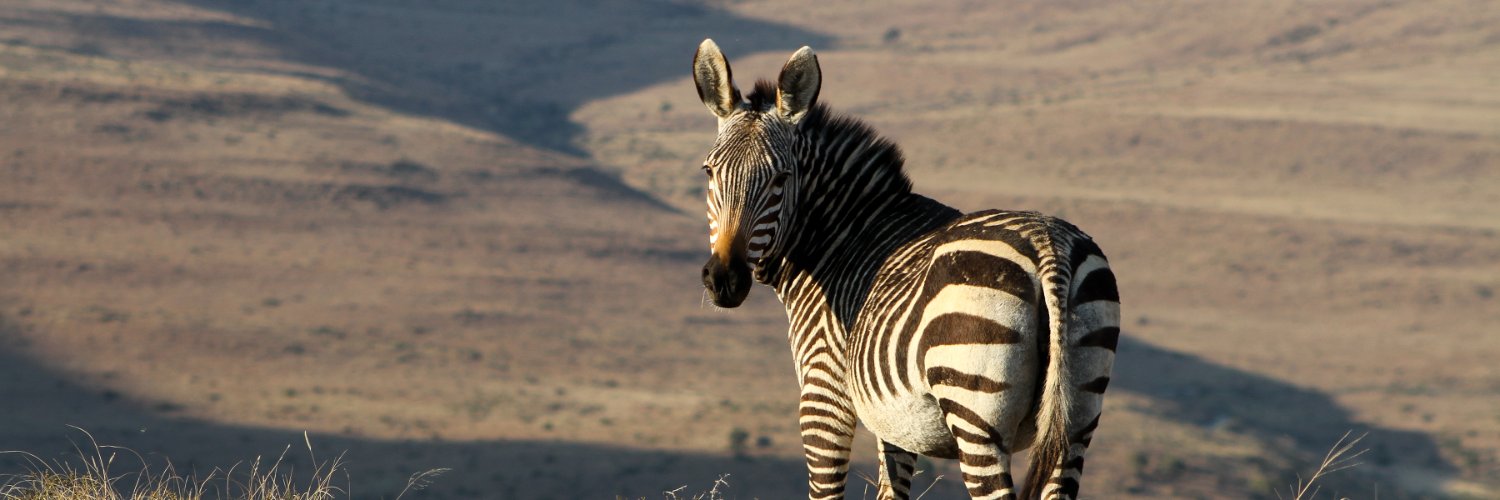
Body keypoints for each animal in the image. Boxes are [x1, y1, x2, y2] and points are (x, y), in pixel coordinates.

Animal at [692, 39, 1120, 500]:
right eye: (710, 172)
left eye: (781, 178)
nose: (724, 280)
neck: (841, 236)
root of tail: (1049, 245)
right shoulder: (895, 421)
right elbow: (891, 488)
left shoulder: (824, 395)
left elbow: (826, 488)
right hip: (1077, 416)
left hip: (974, 407)